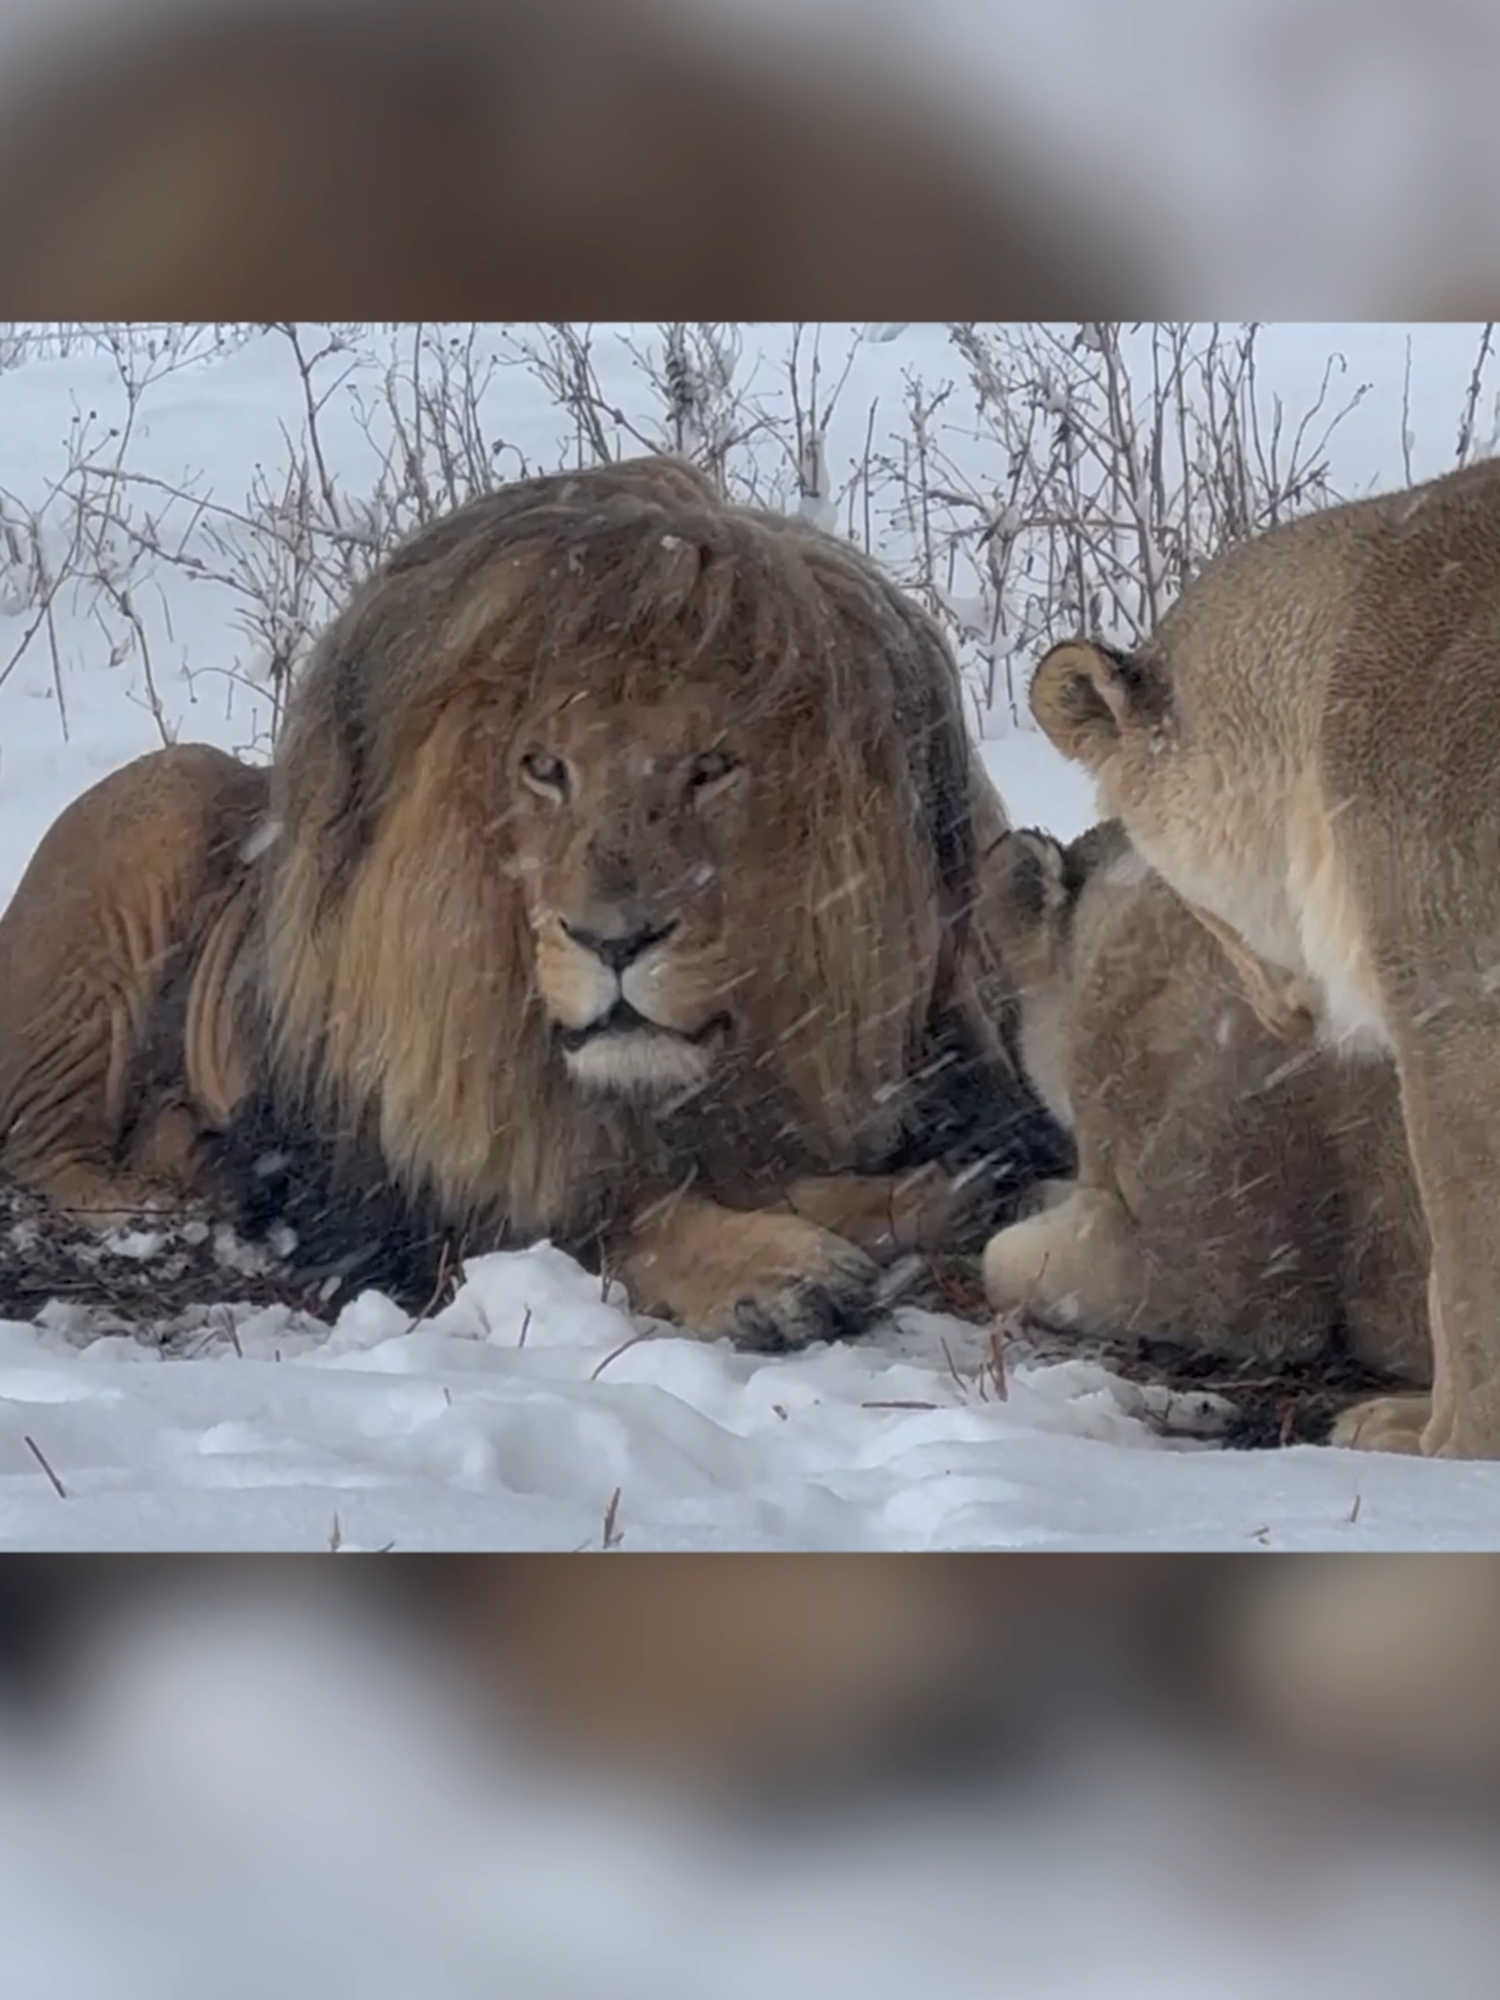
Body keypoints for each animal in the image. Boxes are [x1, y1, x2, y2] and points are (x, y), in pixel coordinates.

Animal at [0, 458, 1072, 1344]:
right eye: (546, 769)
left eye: (712, 769)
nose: (615, 942)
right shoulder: (367, 1190)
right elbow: (603, 1214)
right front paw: (773, 1271)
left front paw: (953, 1199)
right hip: (161, 801)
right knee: (47, 1149)